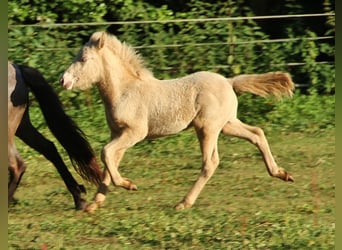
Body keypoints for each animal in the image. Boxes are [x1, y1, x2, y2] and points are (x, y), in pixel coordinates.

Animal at [60, 30, 296, 212]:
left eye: (83, 59)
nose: (63, 81)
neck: (125, 91)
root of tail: (229, 82)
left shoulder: (135, 133)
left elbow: (106, 154)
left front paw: (128, 185)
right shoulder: (118, 133)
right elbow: (110, 162)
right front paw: (94, 203)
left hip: (207, 128)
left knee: (211, 162)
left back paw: (184, 203)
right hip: (227, 125)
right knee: (257, 133)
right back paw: (281, 173)